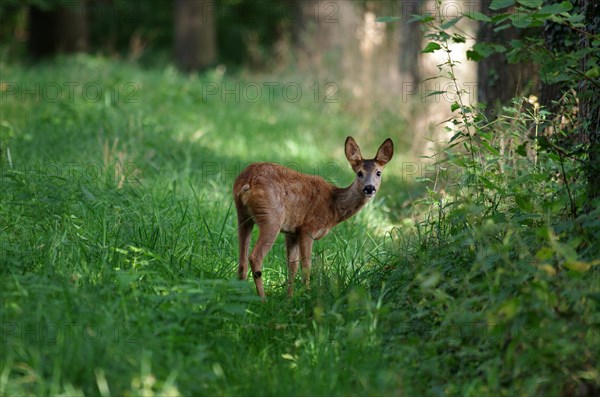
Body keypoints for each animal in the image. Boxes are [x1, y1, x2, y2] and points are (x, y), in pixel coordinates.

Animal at [234, 136, 394, 296]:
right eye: (359, 173)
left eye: (378, 173)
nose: (369, 188)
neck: (334, 207)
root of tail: (248, 182)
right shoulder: (308, 228)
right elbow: (306, 266)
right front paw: (306, 294)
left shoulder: (292, 231)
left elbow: (292, 265)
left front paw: (289, 298)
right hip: (272, 218)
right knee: (255, 257)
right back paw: (262, 298)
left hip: (242, 216)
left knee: (242, 261)